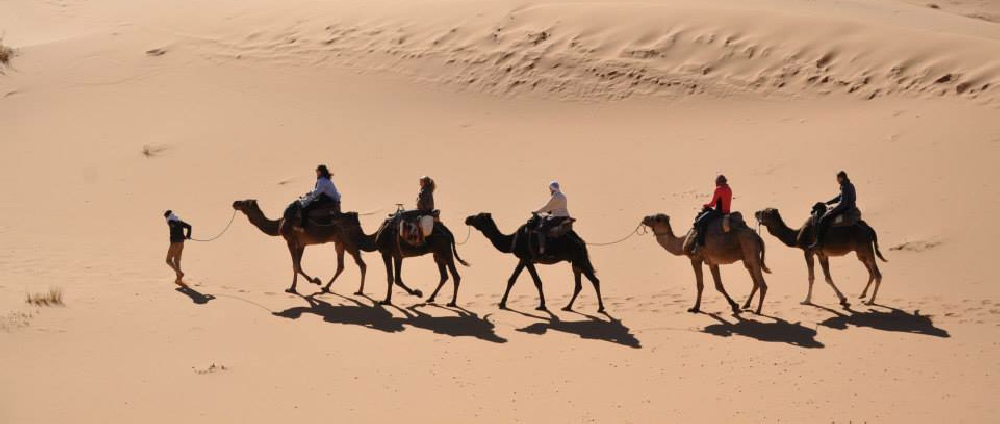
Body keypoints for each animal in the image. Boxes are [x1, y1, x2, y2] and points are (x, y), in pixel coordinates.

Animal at [233, 200, 368, 294]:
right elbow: (298, 265)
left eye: (245, 203)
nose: (235, 203)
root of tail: (356, 221)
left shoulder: (291, 241)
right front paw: (311, 282)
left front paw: (296, 287)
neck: (279, 224)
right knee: (341, 266)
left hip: (348, 241)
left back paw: (360, 291)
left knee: (361, 264)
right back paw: (326, 287)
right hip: (339, 242)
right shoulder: (301, 243)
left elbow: (295, 266)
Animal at [466, 212, 604, 312]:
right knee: (579, 284)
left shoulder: (526, 258)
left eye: (478, 217)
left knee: (595, 280)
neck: (512, 240)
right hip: (575, 262)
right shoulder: (523, 259)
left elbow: (536, 281)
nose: (468, 218)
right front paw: (502, 303)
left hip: (579, 258)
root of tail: (581, 241)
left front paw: (541, 305)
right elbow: (512, 280)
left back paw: (600, 308)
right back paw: (568, 307)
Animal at [640, 214, 772, 314]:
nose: (645, 218)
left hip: (751, 252)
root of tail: (758, 237)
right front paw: (735, 305)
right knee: (755, 282)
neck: (682, 242)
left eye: (656, 218)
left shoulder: (696, 259)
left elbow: (700, 285)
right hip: (746, 259)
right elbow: (718, 285)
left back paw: (758, 310)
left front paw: (695, 308)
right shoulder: (712, 262)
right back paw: (746, 305)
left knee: (762, 284)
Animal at [752, 208, 888, 304]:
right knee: (870, 272)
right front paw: (842, 298)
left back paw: (871, 300)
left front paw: (806, 300)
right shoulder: (821, 254)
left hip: (866, 248)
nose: (755, 212)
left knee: (877, 274)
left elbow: (811, 277)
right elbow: (827, 277)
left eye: (764, 212)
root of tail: (869, 229)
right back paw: (862, 295)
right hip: (860, 252)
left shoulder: (808, 252)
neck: (797, 236)